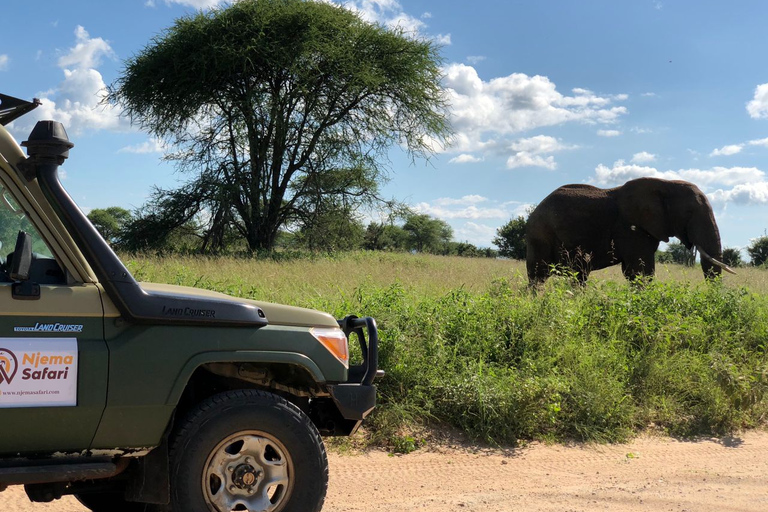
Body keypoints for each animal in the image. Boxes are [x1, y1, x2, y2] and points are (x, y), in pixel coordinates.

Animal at [524, 178, 736, 286]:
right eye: (689, 213)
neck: (666, 184)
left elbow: (633, 272)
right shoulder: (630, 228)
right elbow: (640, 271)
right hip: (540, 234)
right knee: (538, 275)